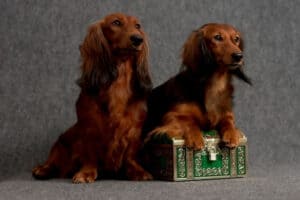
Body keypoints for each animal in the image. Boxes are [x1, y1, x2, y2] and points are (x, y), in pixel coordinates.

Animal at [32, 12, 152, 183]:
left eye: (138, 26)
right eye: (116, 22)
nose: (137, 39)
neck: (119, 83)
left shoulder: (134, 129)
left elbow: (131, 155)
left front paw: (137, 171)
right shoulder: (89, 128)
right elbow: (90, 154)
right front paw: (86, 172)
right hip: (61, 142)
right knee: (53, 160)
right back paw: (42, 169)